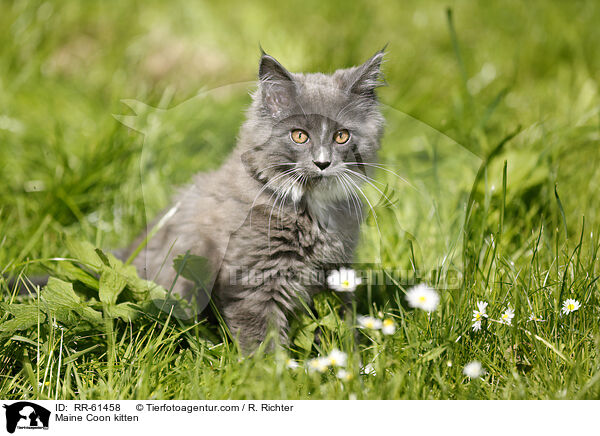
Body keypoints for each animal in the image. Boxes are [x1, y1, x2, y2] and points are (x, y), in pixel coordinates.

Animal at [129, 49, 386, 350]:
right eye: (299, 136)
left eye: (342, 136)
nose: (322, 163)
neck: (309, 208)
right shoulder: (254, 279)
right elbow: (263, 338)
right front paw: (273, 365)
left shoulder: (335, 272)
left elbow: (339, 320)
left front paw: (350, 356)